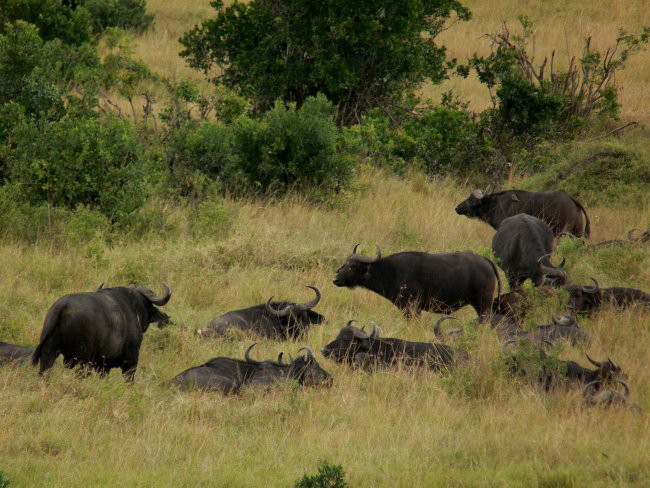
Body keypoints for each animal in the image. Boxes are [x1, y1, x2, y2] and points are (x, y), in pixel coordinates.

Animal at [32, 282, 172, 382]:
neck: (134, 308)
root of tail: (63, 306)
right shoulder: (131, 358)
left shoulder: (103, 366)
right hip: (82, 359)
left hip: (49, 352)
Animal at [332, 244, 498, 320]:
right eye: (345, 263)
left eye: (353, 266)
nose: (335, 279)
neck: (391, 272)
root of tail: (486, 261)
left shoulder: (413, 308)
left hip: (484, 303)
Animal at [454, 189, 588, 238]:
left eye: (471, 200)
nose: (457, 208)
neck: (496, 204)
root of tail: (571, 199)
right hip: (577, 231)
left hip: (559, 231)